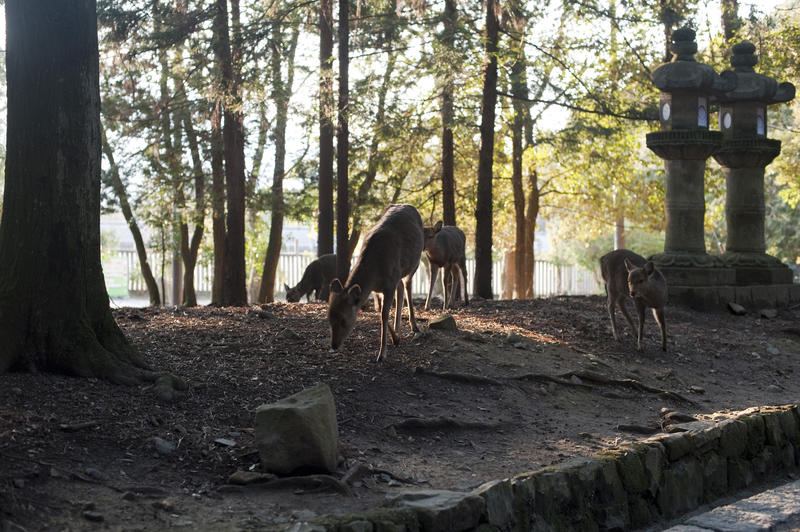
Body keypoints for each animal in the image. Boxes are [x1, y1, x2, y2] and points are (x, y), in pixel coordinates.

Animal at [326, 204, 424, 362]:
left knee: (408, 286)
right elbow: (379, 311)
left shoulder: (389, 284)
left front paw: (381, 354)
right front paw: (395, 339)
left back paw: (414, 326)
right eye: (329, 318)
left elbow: (384, 315)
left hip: (414, 263)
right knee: (401, 288)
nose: (334, 345)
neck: (375, 271)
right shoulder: (377, 288)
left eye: (343, 320)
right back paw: (397, 331)